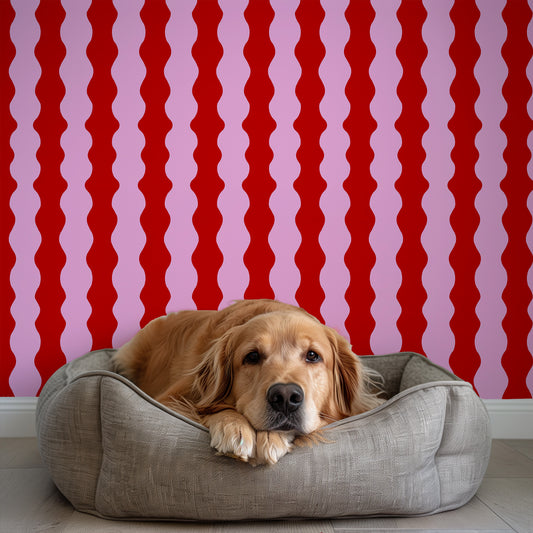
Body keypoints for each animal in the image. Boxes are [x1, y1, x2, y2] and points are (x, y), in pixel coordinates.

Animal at [114, 300, 384, 466]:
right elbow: (212, 408)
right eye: (252, 357)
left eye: (312, 355)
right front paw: (234, 428)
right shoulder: (170, 399)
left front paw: (272, 438)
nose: (285, 397)